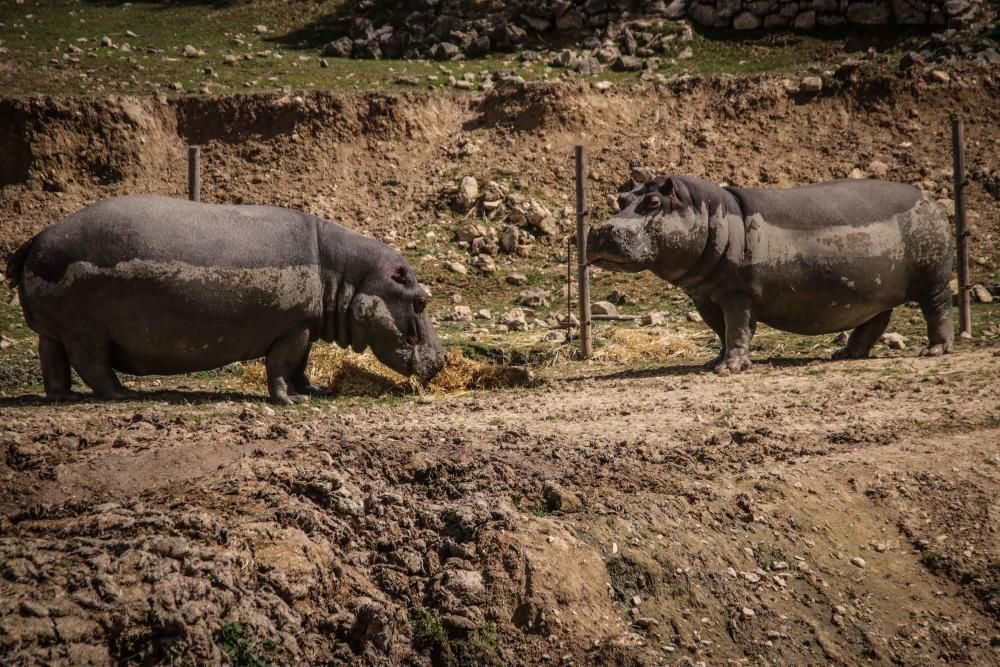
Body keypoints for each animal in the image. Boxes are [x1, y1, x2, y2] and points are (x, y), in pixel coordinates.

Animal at [4, 196, 446, 404]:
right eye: (421, 301)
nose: (442, 359)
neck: (348, 274)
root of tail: (36, 239)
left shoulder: (305, 325)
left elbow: (301, 365)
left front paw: (315, 391)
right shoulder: (293, 327)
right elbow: (281, 365)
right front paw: (291, 401)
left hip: (55, 328)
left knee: (52, 360)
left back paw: (64, 397)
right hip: (87, 330)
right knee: (92, 366)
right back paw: (124, 394)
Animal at [584, 175, 952, 374]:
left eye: (653, 203)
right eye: (622, 198)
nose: (601, 229)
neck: (710, 213)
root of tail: (932, 200)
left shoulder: (737, 293)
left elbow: (736, 329)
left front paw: (728, 369)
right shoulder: (706, 297)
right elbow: (722, 331)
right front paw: (713, 361)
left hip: (933, 278)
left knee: (938, 309)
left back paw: (935, 351)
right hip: (873, 290)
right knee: (874, 320)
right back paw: (845, 354)